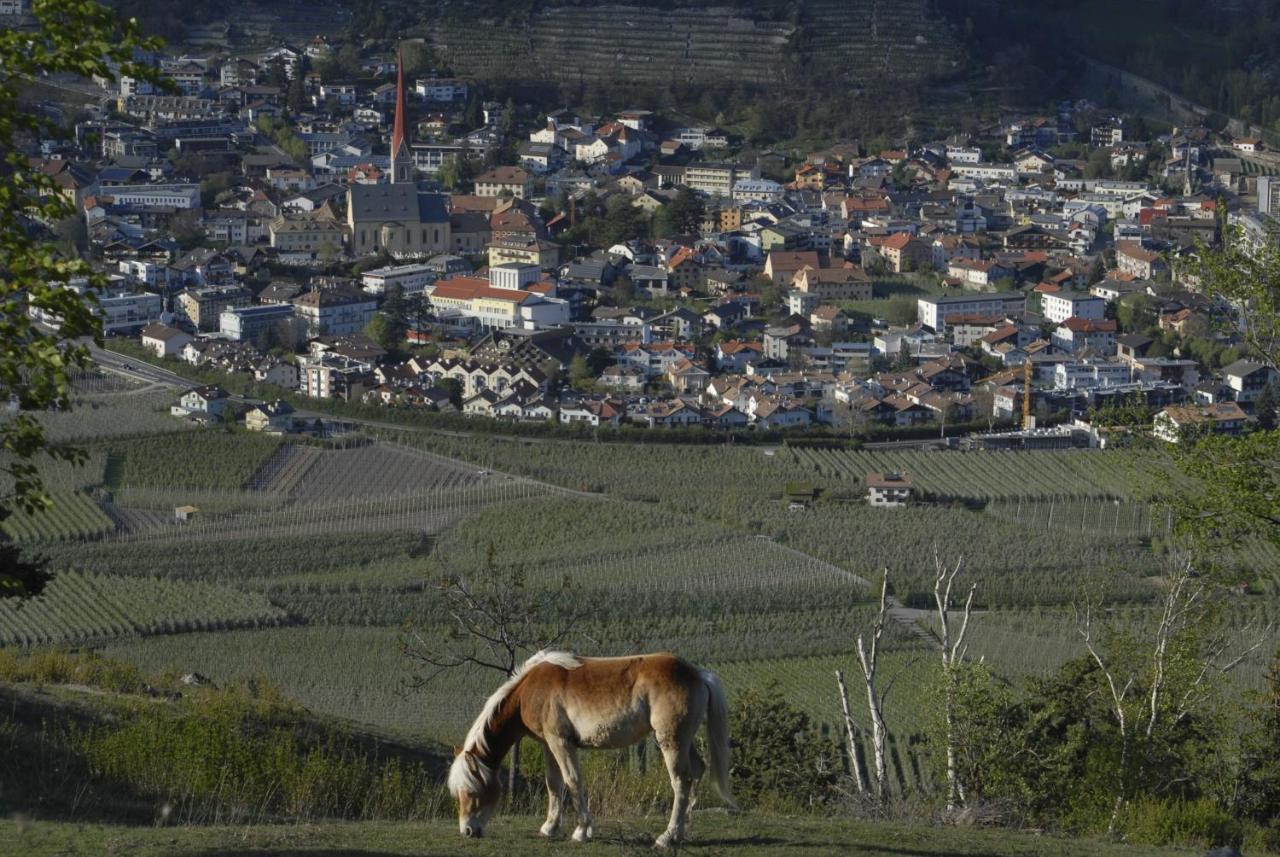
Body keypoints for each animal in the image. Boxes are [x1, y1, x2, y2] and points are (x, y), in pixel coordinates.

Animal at [448, 654, 732, 849]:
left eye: (471, 792)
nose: (467, 831)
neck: (530, 689)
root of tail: (697, 673)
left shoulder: (561, 742)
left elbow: (572, 781)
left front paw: (581, 831)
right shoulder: (548, 744)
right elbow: (554, 784)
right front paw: (549, 827)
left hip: (670, 742)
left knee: (681, 782)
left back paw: (667, 836)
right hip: (683, 742)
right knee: (696, 772)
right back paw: (682, 832)